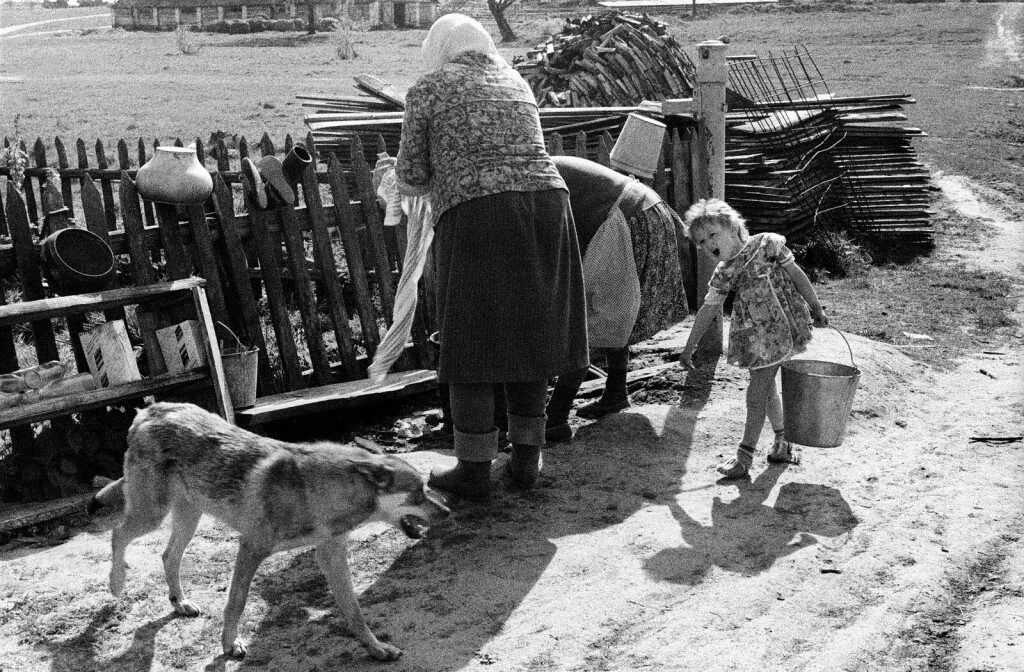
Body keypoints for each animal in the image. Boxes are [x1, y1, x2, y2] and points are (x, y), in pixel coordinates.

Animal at [90, 401, 450, 659]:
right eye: (418, 493)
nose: (448, 511)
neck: (313, 492)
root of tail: (150, 409)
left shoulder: (331, 556)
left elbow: (354, 612)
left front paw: (377, 649)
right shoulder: (251, 548)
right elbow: (236, 602)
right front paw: (229, 645)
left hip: (186, 520)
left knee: (167, 556)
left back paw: (180, 602)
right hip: (152, 515)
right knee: (118, 535)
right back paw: (116, 583)